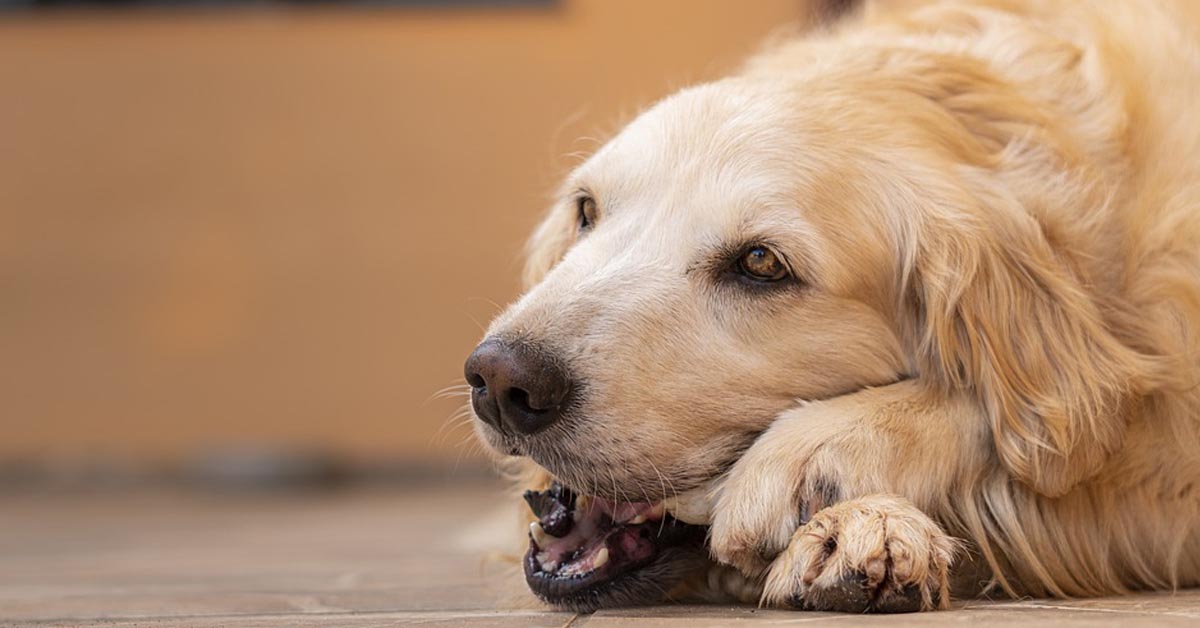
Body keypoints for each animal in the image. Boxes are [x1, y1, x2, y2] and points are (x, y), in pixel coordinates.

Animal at [460, 0, 1200, 612]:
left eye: (762, 264)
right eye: (586, 210)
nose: (500, 380)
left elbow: (1051, 427)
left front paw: (822, 465)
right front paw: (866, 524)